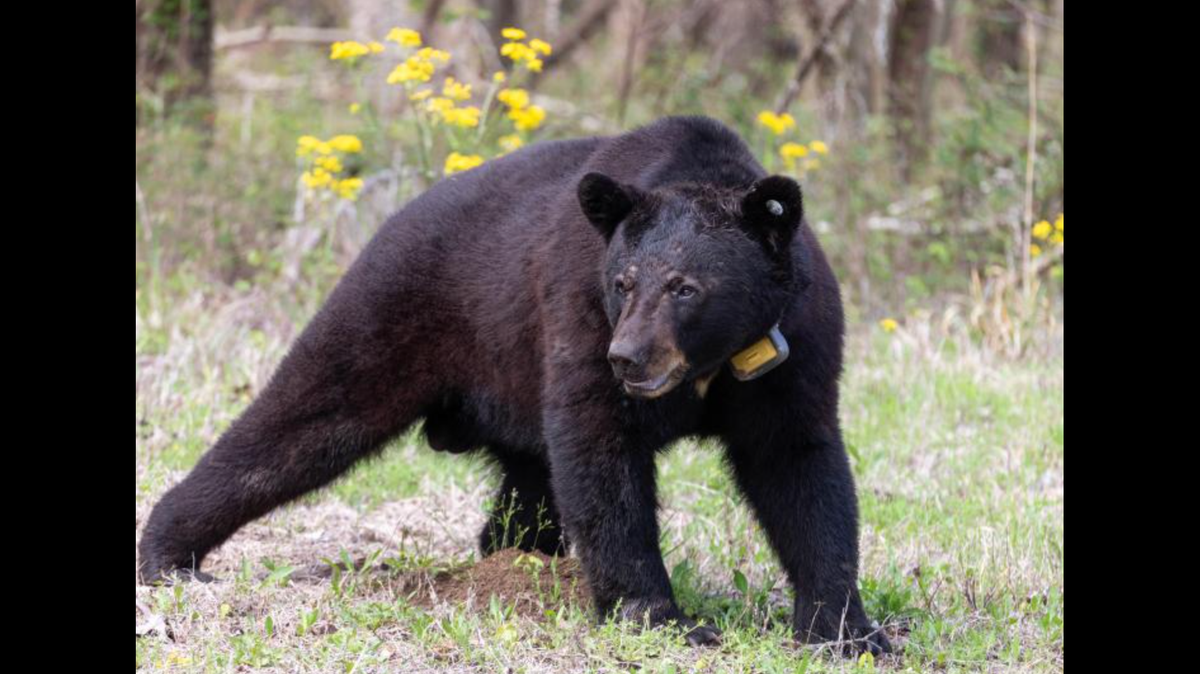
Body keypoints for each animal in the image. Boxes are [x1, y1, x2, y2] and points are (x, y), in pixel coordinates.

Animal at [138, 115, 890, 655]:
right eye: (625, 282)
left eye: (686, 286)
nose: (629, 358)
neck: (711, 365)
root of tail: (396, 217)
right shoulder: (577, 310)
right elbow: (601, 455)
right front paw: (663, 618)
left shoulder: (794, 347)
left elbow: (800, 467)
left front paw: (846, 630)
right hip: (395, 314)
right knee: (301, 422)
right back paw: (169, 554)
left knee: (526, 490)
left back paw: (516, 560)